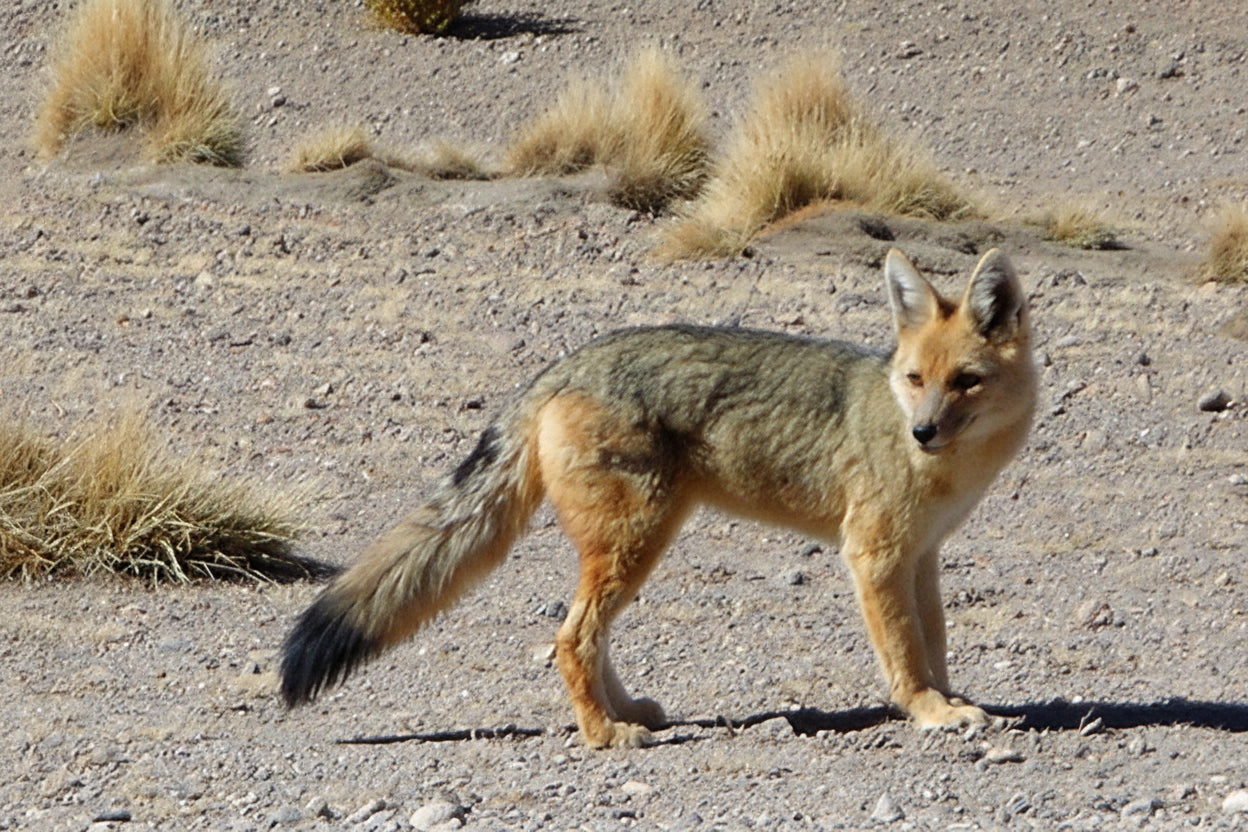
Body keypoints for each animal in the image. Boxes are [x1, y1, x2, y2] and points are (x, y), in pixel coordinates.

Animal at [280, 248, 1036, 748]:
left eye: (964, 381)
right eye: (915, 379)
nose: (923, 431)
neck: (944, 470)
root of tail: (563, 364)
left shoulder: (922, 554)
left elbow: (934, 640)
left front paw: (952, 698)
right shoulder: (873, 555)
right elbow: (905, 651)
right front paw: (930, 711)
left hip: (637, 542)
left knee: (587, 635)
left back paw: (624, 713)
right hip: (638, 538)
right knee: (571, 637)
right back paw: (603, 734)